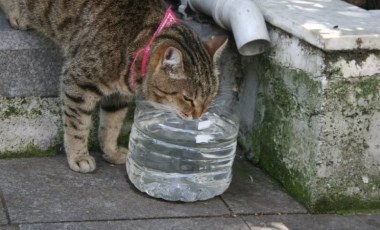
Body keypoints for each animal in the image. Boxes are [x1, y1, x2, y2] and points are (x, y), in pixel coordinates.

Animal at [0, 0, 226, 172]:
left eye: (209, 98)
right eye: (188, 98)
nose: (197, 116)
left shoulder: (119, 96)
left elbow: (111, 125)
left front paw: (111, 151)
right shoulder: (77, 82)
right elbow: (78, 125)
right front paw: (78, 156)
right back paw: (16, 15)